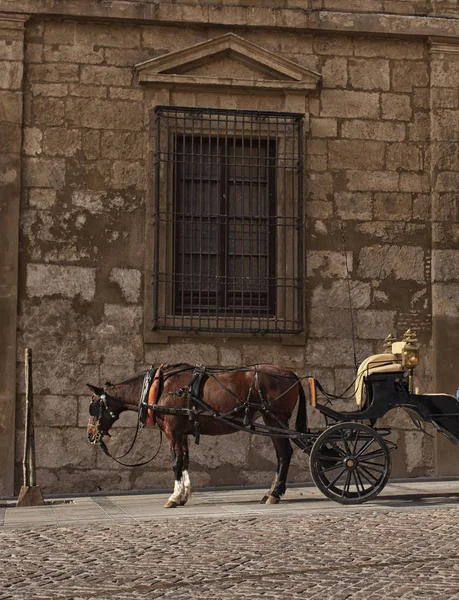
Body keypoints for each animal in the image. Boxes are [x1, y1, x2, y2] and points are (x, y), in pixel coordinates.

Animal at [88, 364, 308, 508]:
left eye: (94, 404)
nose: (90, 434)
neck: (159, 388)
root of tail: (292, 374)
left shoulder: (172, 432)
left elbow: (176, 462)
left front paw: (174, 496)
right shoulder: (181, 433)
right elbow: (185, 460)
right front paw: (184, 494)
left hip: (274, 419)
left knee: (283, 454)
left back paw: (274, 493)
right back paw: (272, 493)